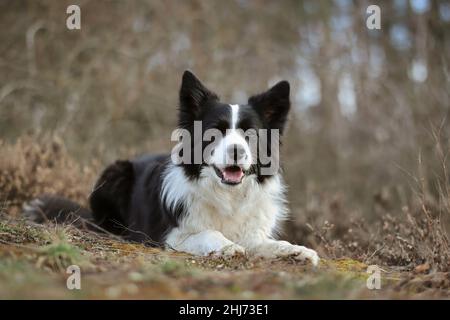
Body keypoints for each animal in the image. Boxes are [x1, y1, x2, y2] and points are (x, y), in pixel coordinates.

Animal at [24, 71, 320, 266]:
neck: (227, 196)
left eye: (250, 134)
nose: (237, 151)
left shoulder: (253, 232)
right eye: (215, 132)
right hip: (115, 173)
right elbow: (208, 233)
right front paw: (228, 246)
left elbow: (270, 243)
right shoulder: (170, 235)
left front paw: (297, 250)